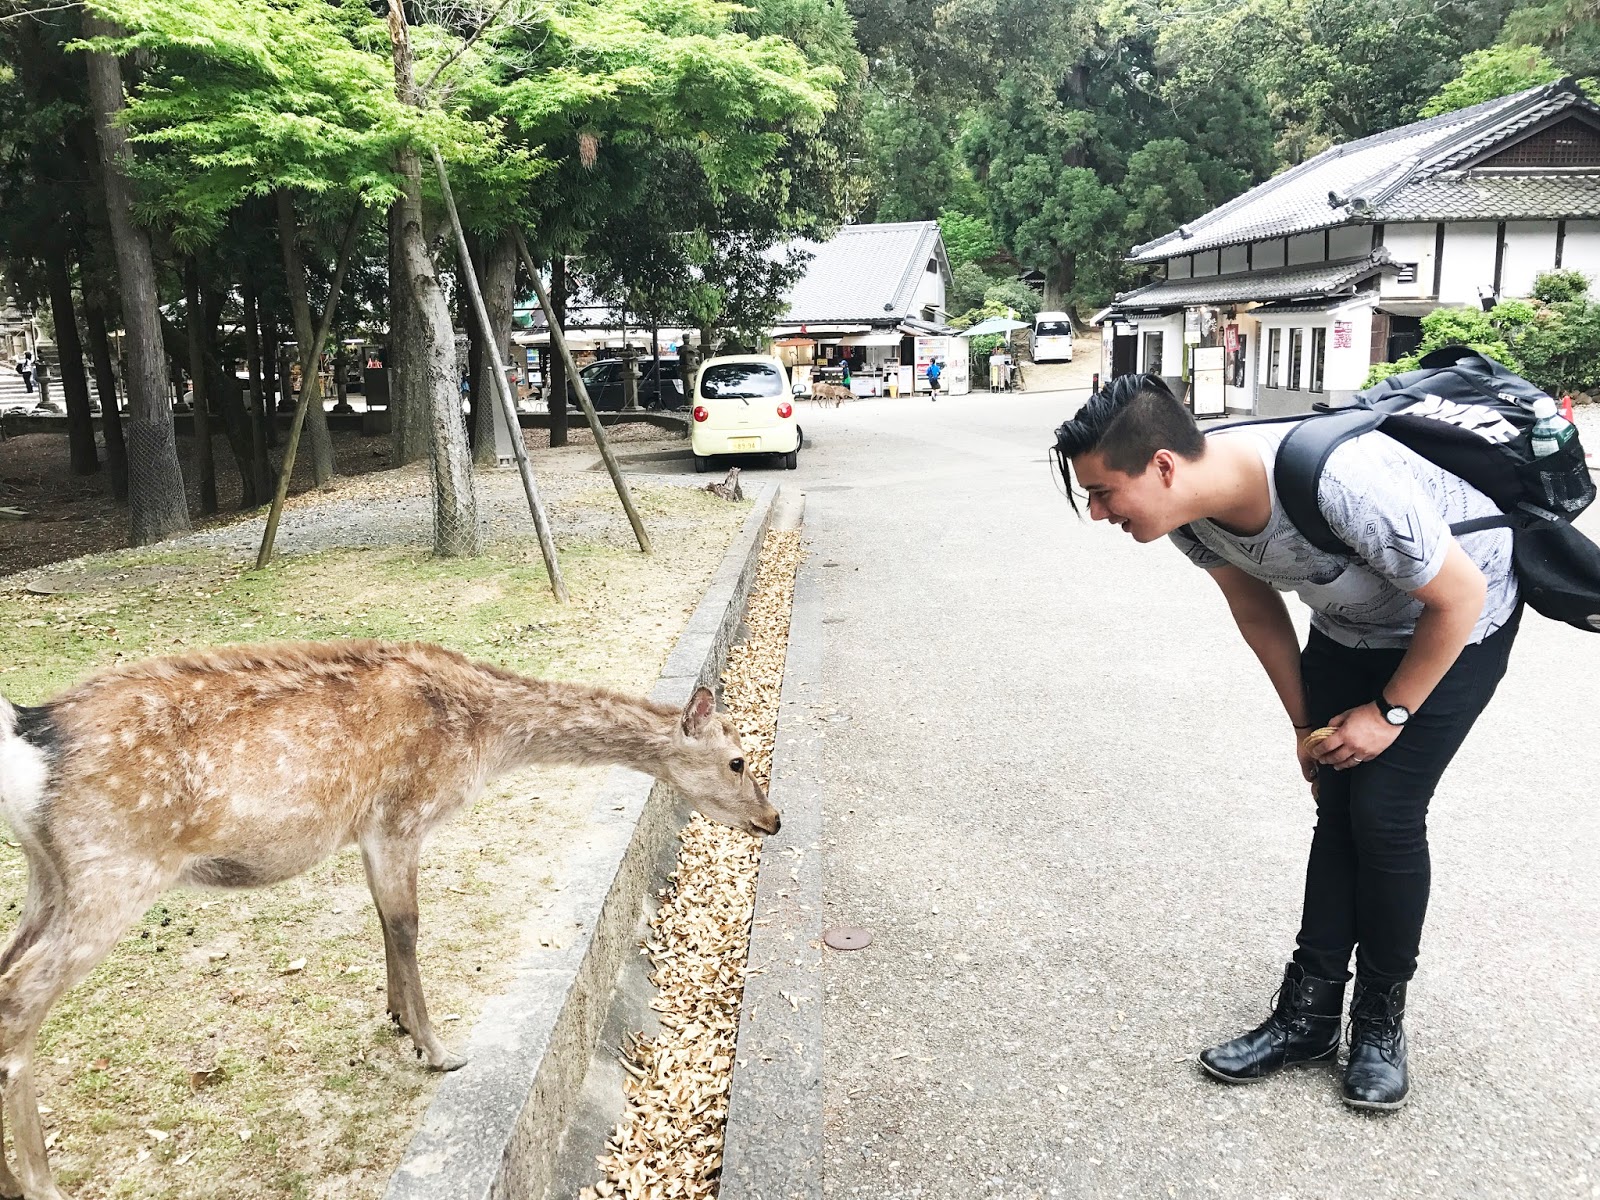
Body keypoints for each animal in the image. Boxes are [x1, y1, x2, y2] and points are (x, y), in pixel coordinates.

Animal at [0, 639, 779, 1200]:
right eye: (738, 760)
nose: (773, 819)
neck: (484, 738)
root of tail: (29, 739)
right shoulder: (401, 815)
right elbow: (408, 925)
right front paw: (439, 1049)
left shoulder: (369, 832)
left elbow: (385, 924)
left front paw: (398, 1019)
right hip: (114, 871)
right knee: (17, 999)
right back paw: (39, 1185)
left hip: (50, 879)